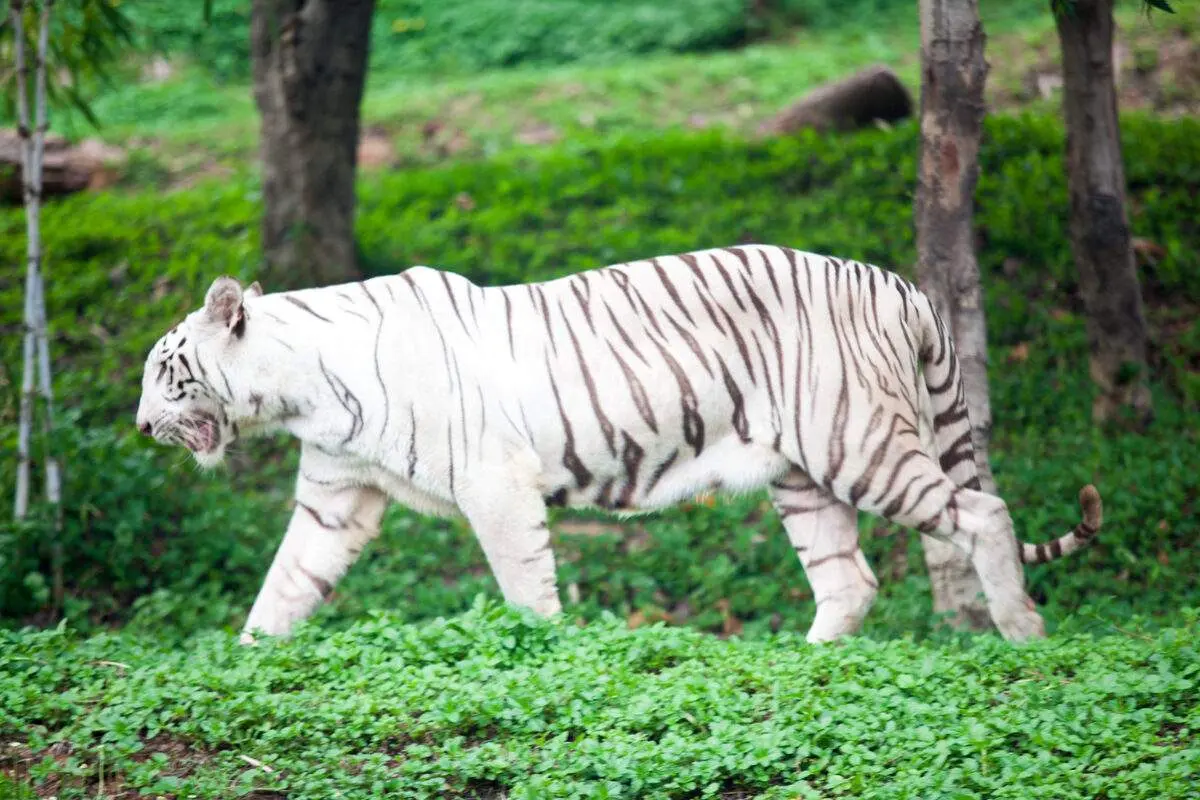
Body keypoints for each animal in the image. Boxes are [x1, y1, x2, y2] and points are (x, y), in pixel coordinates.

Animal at [135, 244, 1102, 645]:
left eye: (167, 373)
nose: (141, 426)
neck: (300, 389)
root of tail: (901, 284)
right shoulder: (335, 496)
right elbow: (286, 583)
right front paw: (246, 661)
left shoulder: (496, 483)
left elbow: (525, 588)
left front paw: (546, 658)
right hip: (802, 474)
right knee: (850, 578)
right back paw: (805, 662)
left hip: (860, 442)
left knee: (983, 510)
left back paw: (1025, 633)